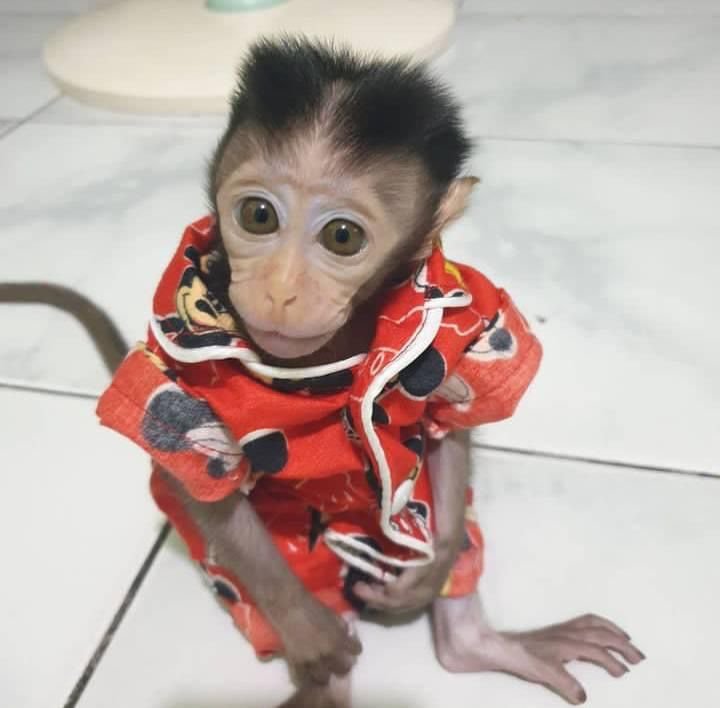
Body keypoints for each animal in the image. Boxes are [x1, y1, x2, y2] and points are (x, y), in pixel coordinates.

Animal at [96, 38, 644, 708]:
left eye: (341, 235)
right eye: (257, 216)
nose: (280, 290)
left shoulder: (465, 304)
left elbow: (447, 422)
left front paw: (431, 571)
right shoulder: (175, 364)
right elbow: (202, 480)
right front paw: (310, 631)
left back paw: (474, 638)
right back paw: (324, 676)